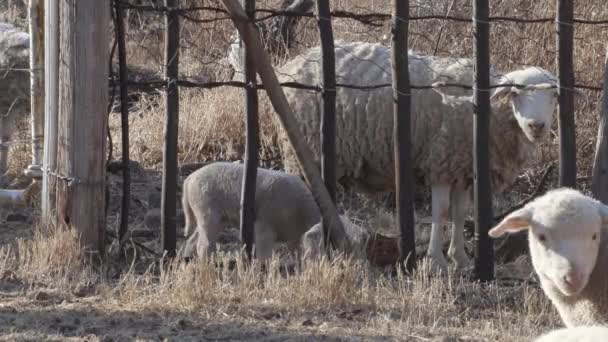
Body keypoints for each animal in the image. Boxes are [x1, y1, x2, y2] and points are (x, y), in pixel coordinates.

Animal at [178, 162, 364, 264]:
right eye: (339, 244)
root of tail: (188, 180)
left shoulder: (294, 236)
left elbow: (298, 252)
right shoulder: (264, 226)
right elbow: (264, 253)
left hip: (211, 216)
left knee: (193, 239)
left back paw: (188, 259)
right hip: (207, 210)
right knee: (204, 244)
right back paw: (207, 264)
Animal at [276, 40, 584, 272]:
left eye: (554, 96)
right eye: (516, 93)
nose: (536, 125)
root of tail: (291, 63)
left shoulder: (463, 167)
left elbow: (460, 212)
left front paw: (460, 257)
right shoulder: (441, 162)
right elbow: (441, 211)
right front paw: (436, 261)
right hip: (304, 148)